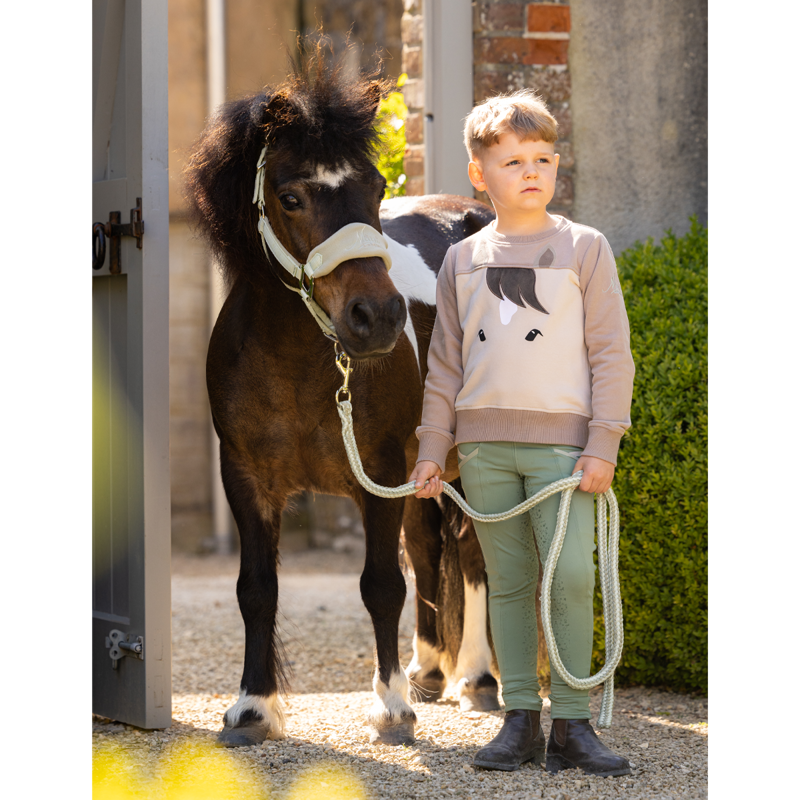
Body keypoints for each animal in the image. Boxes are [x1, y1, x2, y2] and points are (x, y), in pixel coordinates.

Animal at [185, 46, 500, 748]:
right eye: (290, 196)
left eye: (376, 189)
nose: (378, 318)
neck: (300, 363)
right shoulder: (245, 477)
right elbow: (257, 589)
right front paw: (253, 708)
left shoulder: (376, 472)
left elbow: (380, 585)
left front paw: (391, 710)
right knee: (429, 547)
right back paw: (428, 671)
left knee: (472, 554)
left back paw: (476, 679)